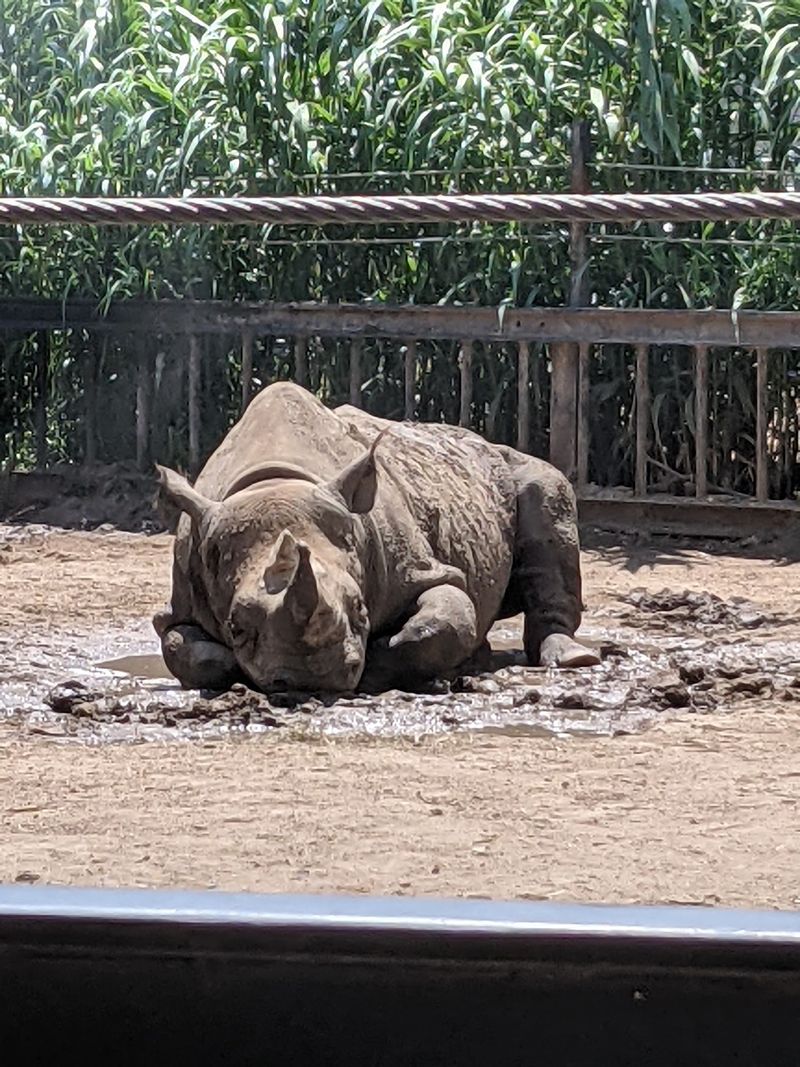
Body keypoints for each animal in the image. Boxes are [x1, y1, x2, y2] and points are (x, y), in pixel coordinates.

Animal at [154, 381, 600, 694]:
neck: (275, 482)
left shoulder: (421, 569)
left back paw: (570, 659)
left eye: (359, 608)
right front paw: (229, 666)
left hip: (511, 467)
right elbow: (179, 646)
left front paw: (381, 665)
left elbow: (444, 617)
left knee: (547, 490)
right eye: (235, 626)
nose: (308, 680)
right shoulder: (184, 593)